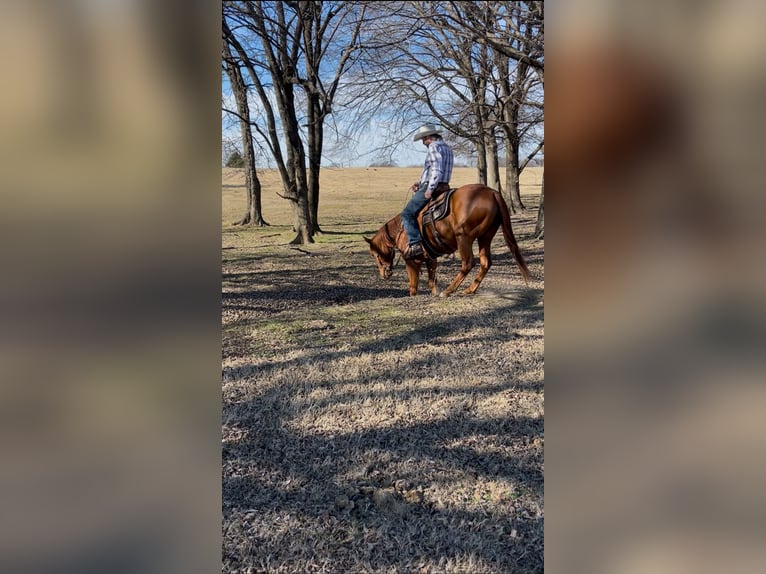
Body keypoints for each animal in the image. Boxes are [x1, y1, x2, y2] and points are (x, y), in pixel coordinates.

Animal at [364, 184, 530, 296]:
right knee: (485, 263)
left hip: (463, 237)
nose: (384, 274)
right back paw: (469, 290)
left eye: (374, 254)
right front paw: (434, 293)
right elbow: (432, 282)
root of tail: (491, 192)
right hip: (485, 237)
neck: (401, 230)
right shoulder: (431, 259)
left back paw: (449, 290)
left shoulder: (412, 261)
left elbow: (413, 287)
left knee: (468, 263)